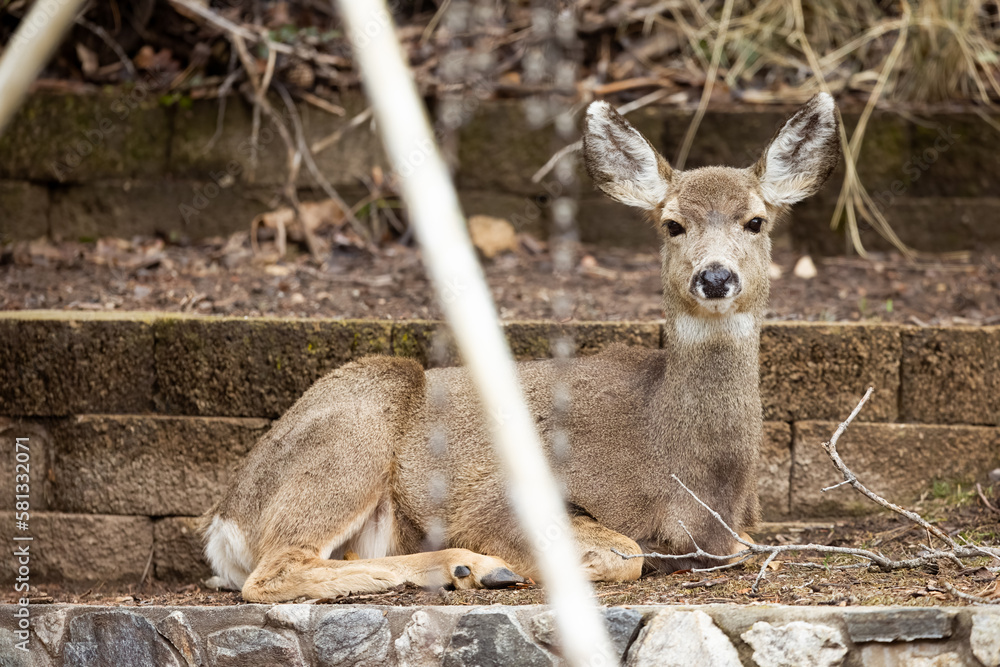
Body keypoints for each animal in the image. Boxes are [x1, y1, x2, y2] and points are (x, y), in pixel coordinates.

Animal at [201, 92, 841, 602]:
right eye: (672, 224)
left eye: (756, 221)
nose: (714, 277)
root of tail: (224, 524)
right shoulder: (505, 496)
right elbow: (626, 553)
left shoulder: (739, 535)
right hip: (361, 413)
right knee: (274, 571)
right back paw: (477, 567)